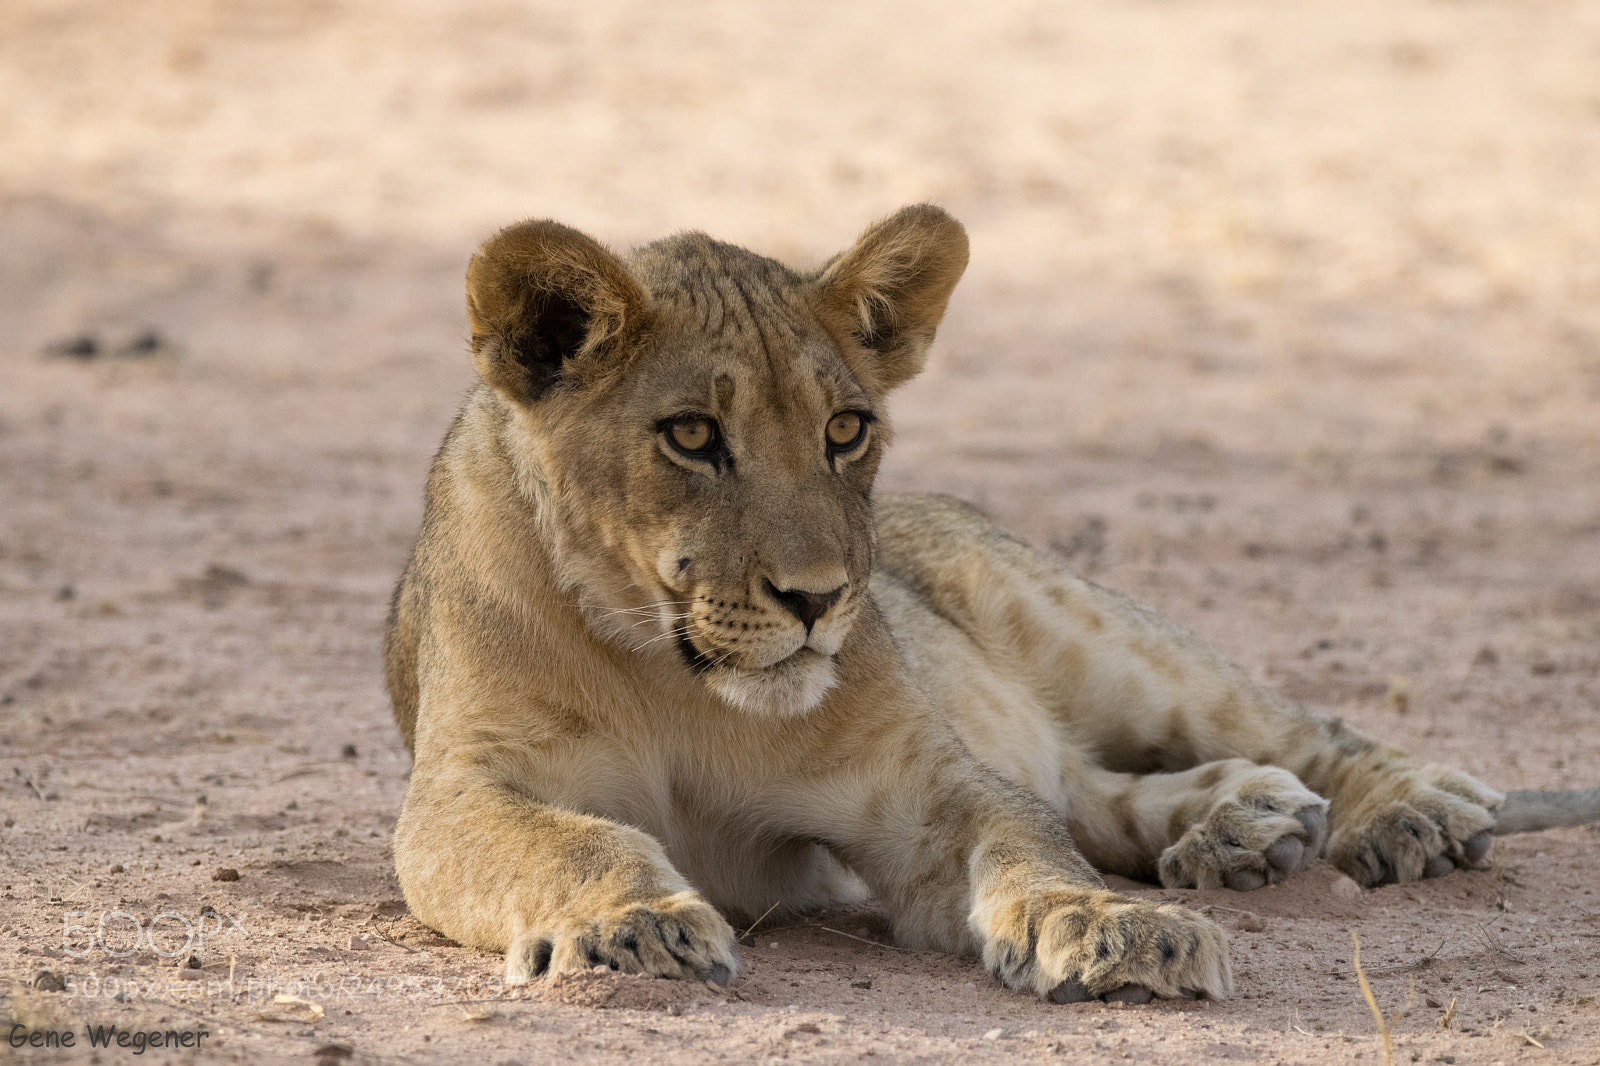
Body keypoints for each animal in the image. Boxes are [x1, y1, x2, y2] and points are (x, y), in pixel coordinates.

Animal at [384, 205, 1600, 1003]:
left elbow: (1030, 847)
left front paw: (1118, 931)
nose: (820, 600)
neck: (671, 675)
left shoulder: (920, 786)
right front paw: (632, 926)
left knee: (1283, 735)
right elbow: (577, 842)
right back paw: (1240, 824)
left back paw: (1403, 813)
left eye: (845, 429)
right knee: (1087, 788)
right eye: (691, 434)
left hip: (1089, 632)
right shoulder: (457, 795)